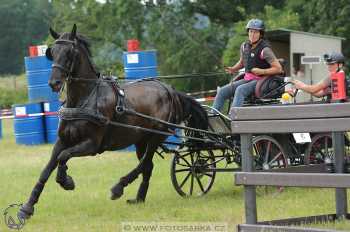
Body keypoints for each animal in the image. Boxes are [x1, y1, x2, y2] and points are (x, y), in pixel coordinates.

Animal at [18, 25, 208, 219]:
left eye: (69, 52)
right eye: (52, 52)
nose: (54, 83)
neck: (84, 98)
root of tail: (169, 90)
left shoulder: (92, 145)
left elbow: (63, 157)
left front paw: (66, 181)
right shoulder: (62, 141)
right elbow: (47, 169)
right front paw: (27, 207)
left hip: (155, 137)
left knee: (144, 164)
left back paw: (119, 187)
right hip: (141, 140)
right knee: (147, 166)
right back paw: (139, 198)